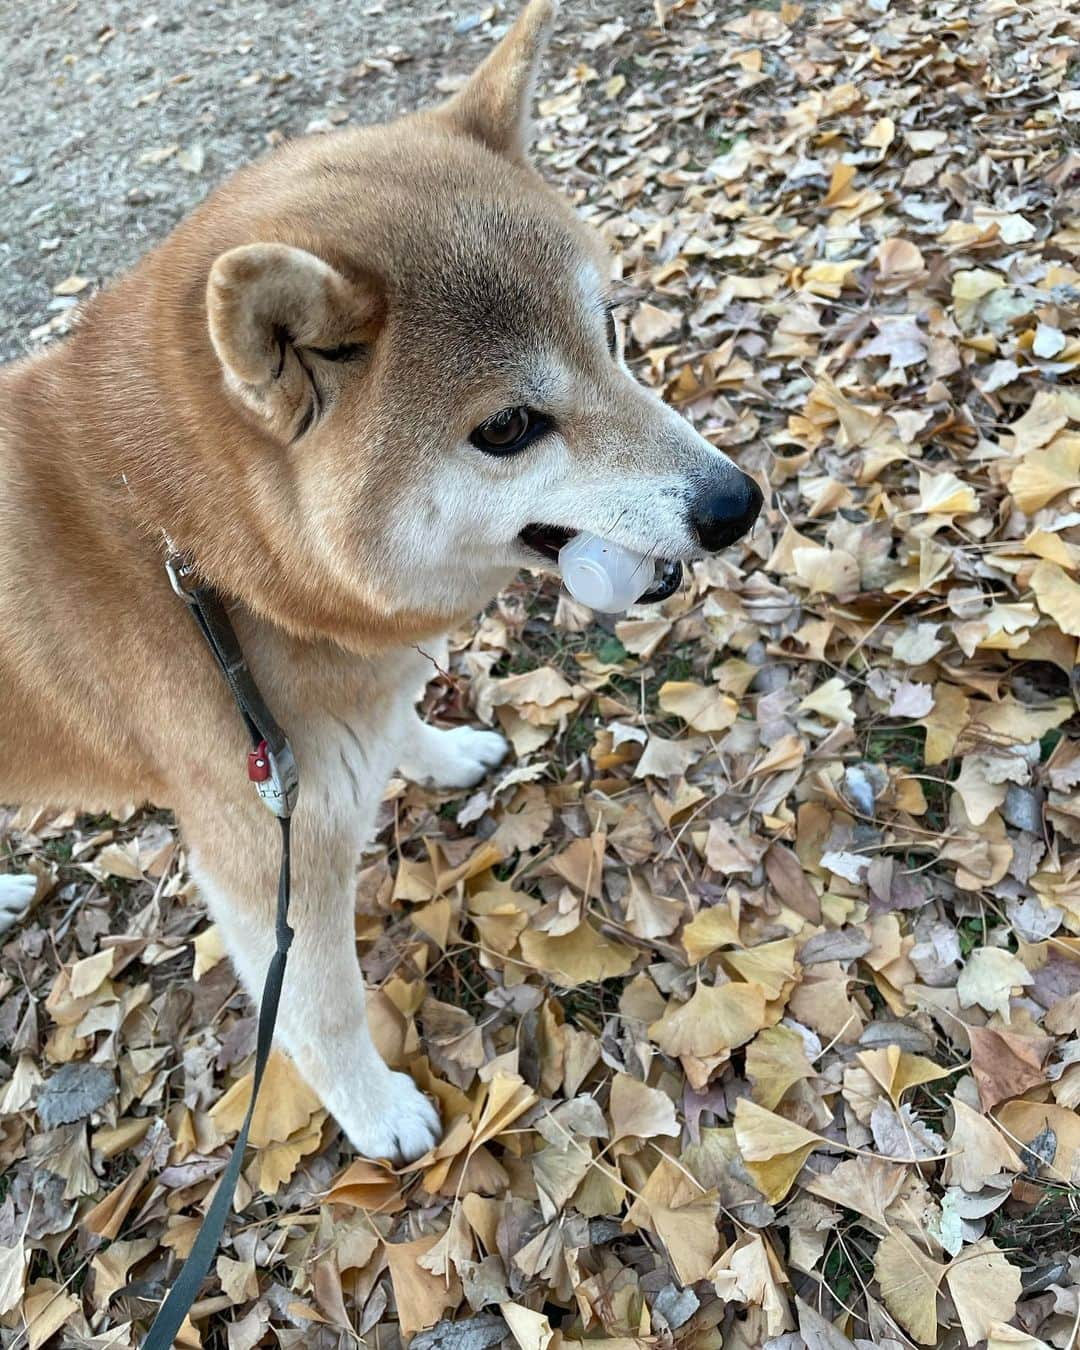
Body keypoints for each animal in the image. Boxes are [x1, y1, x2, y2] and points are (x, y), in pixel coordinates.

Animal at [0, 0, 761, 1161]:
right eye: (509, 427)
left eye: (612, 331)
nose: (737, 503)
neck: (196, 556)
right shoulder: (265, 854)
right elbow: (317, 1010)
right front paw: (378, 1114)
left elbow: (397, 722)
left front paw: (439, 754)